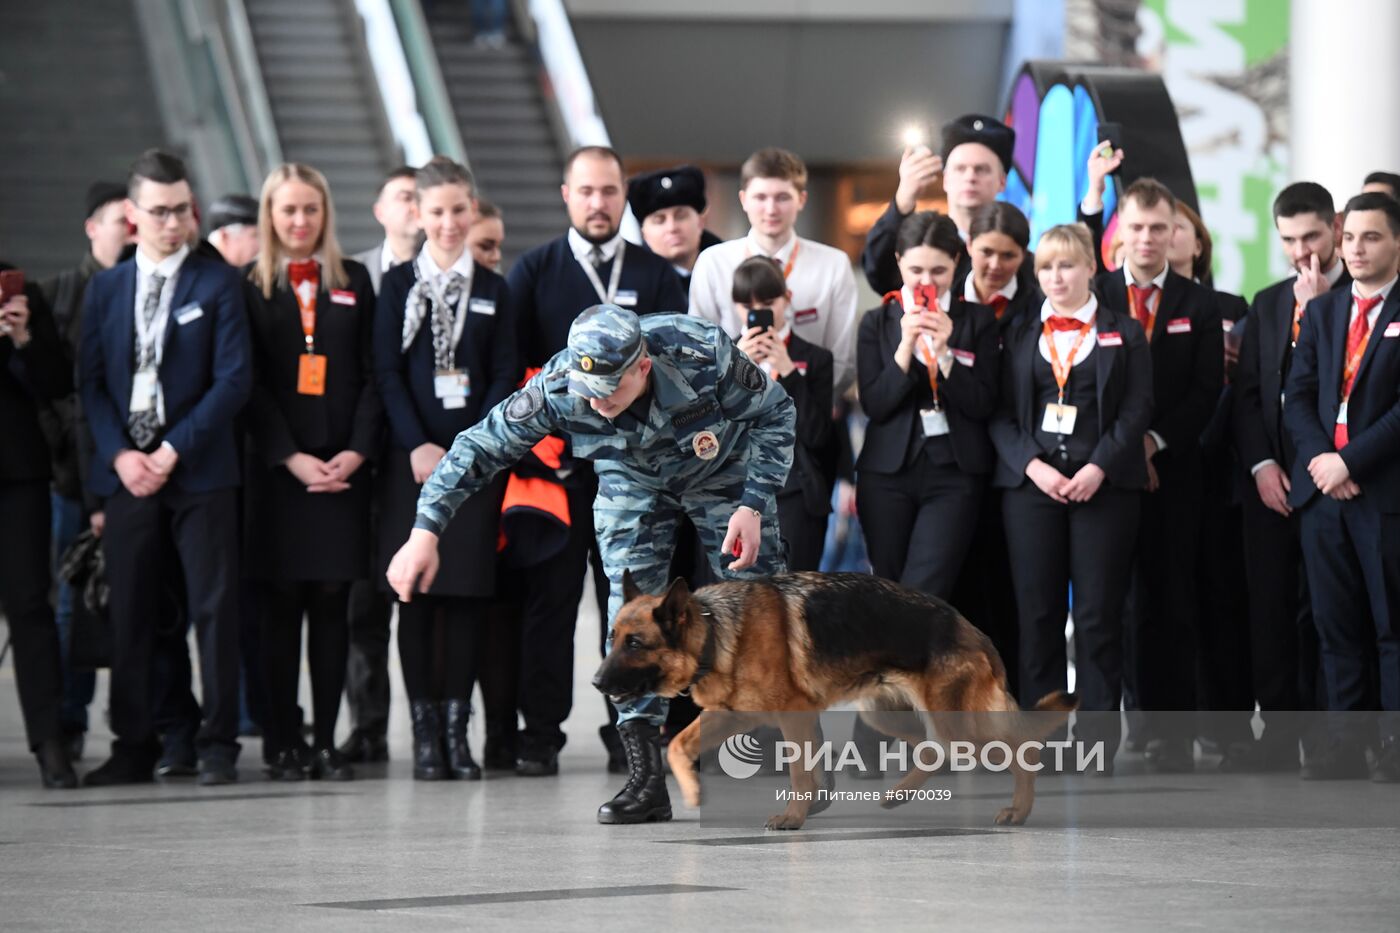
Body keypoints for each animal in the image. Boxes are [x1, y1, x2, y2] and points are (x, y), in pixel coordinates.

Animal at [596, 565, 1075, 829]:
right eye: (611, 637)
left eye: (635, 644)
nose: (597, 683)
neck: (713, 631)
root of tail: (975, 632)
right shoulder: (731, 715)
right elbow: (678, 744)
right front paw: (693, 792)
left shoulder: (793, 717)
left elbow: (798, 774)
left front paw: (793, 817)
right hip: (887, 716)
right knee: (931, 749)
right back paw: (898, 794)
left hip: (960, 726)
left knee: (1019, 750)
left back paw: (1019, 811)